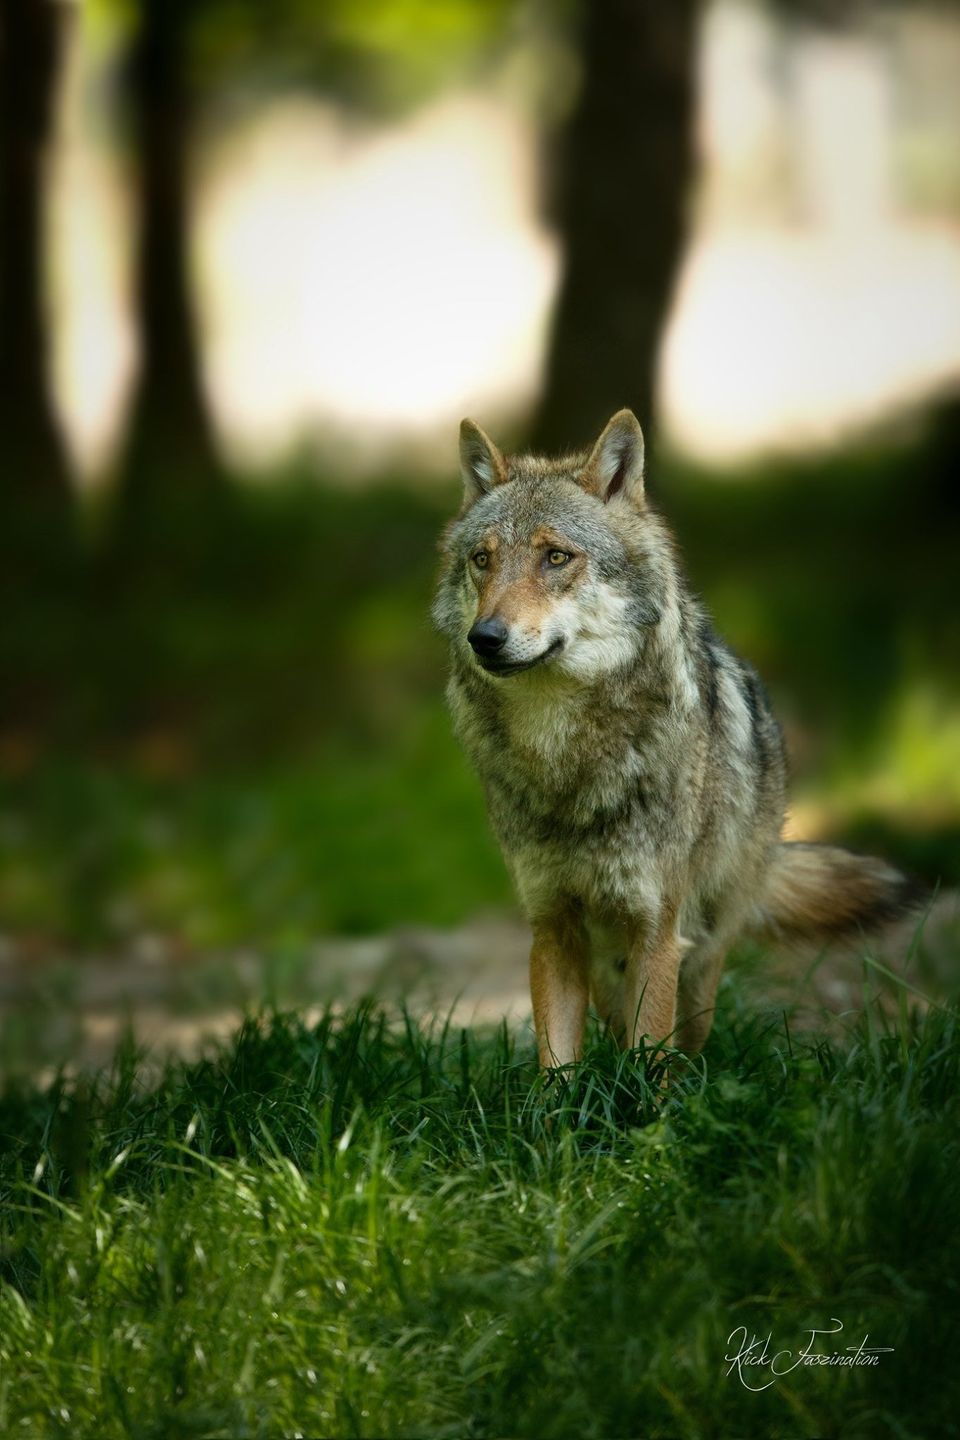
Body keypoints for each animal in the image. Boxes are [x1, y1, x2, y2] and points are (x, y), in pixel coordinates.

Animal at [433, 409, 920, 1068]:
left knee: (689, 1036)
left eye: (556, 557)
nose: (485, 638)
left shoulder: (656, 930)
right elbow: (556, 1070)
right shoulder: (551, 925)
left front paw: (648, 1101)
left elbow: (650, 1060)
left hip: (702, 954)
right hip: (605, 965)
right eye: (482, 559)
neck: (566, 758)